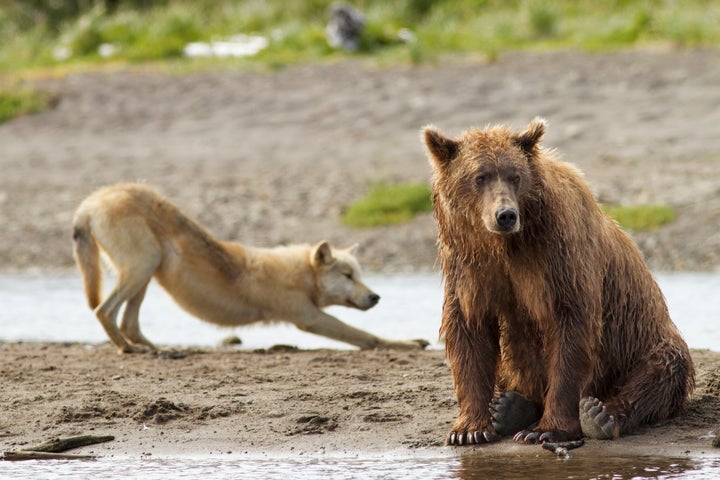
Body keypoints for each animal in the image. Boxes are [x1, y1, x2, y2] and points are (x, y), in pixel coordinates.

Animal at [71, 183, 428, 352]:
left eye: (360, 275)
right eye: (348, 275)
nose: (376, 297)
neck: (302, 275)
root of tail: (89, 202)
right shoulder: (310, 318)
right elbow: (369, 336)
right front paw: (408, 343)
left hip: (146, 271)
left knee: (129, 322)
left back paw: (156, 349)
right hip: (143, 265)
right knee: (104, 311)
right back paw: (127, 349)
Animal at [424, 117, 696, 446]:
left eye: (515, 176)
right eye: (480, 177)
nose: (505, 215)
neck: (505, 246)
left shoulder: (558, 255)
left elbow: (570, 327)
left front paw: (546, 429)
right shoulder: (470, 267)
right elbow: (469, 328)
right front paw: (469, 429)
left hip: (644, 341)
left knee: (661, 370)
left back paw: (599, 415)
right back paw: (510, 407)